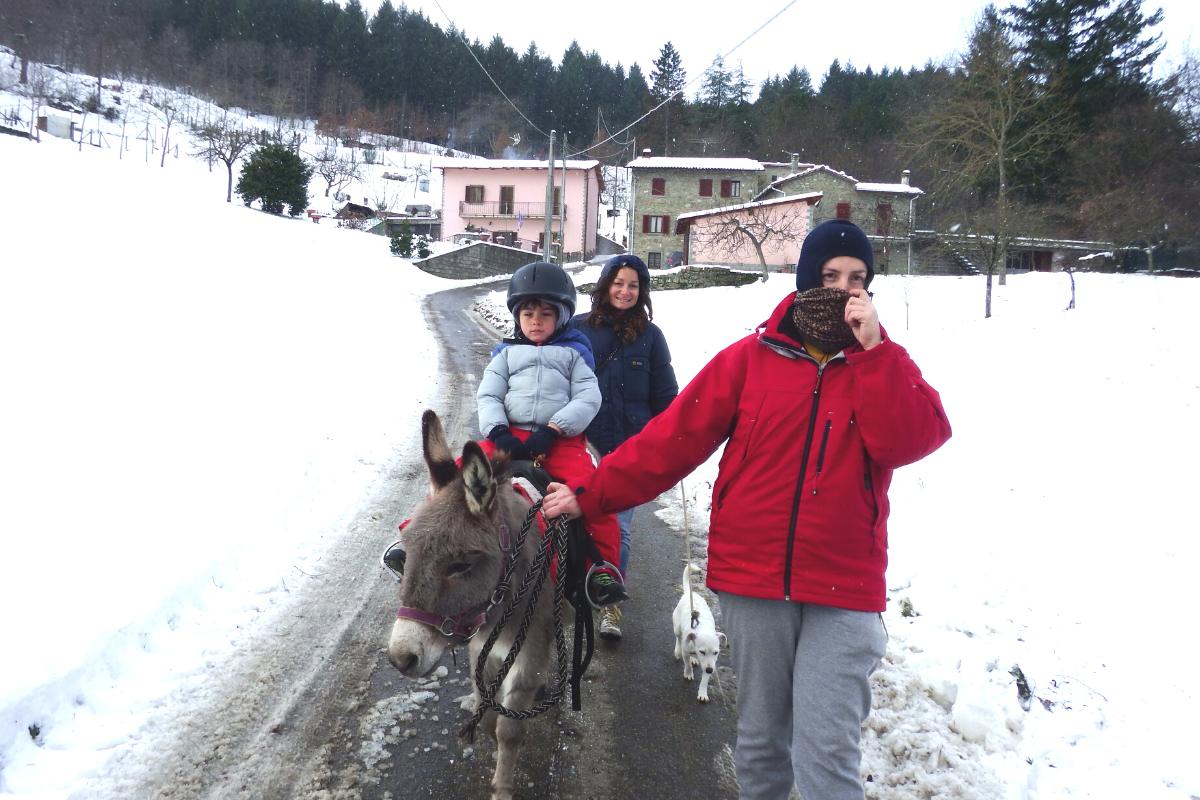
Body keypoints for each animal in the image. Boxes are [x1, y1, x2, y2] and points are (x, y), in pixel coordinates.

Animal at [672, 563, 724, 700]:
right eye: (702, 651)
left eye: (716, 652)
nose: (710, 670)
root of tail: (689, 594)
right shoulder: (686, 651)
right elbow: (687, 664)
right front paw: (688, 673)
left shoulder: (711, 663)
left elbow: (705, 680)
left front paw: (702, 693)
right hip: (677, 628)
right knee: (678, 638)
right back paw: (678, 651)